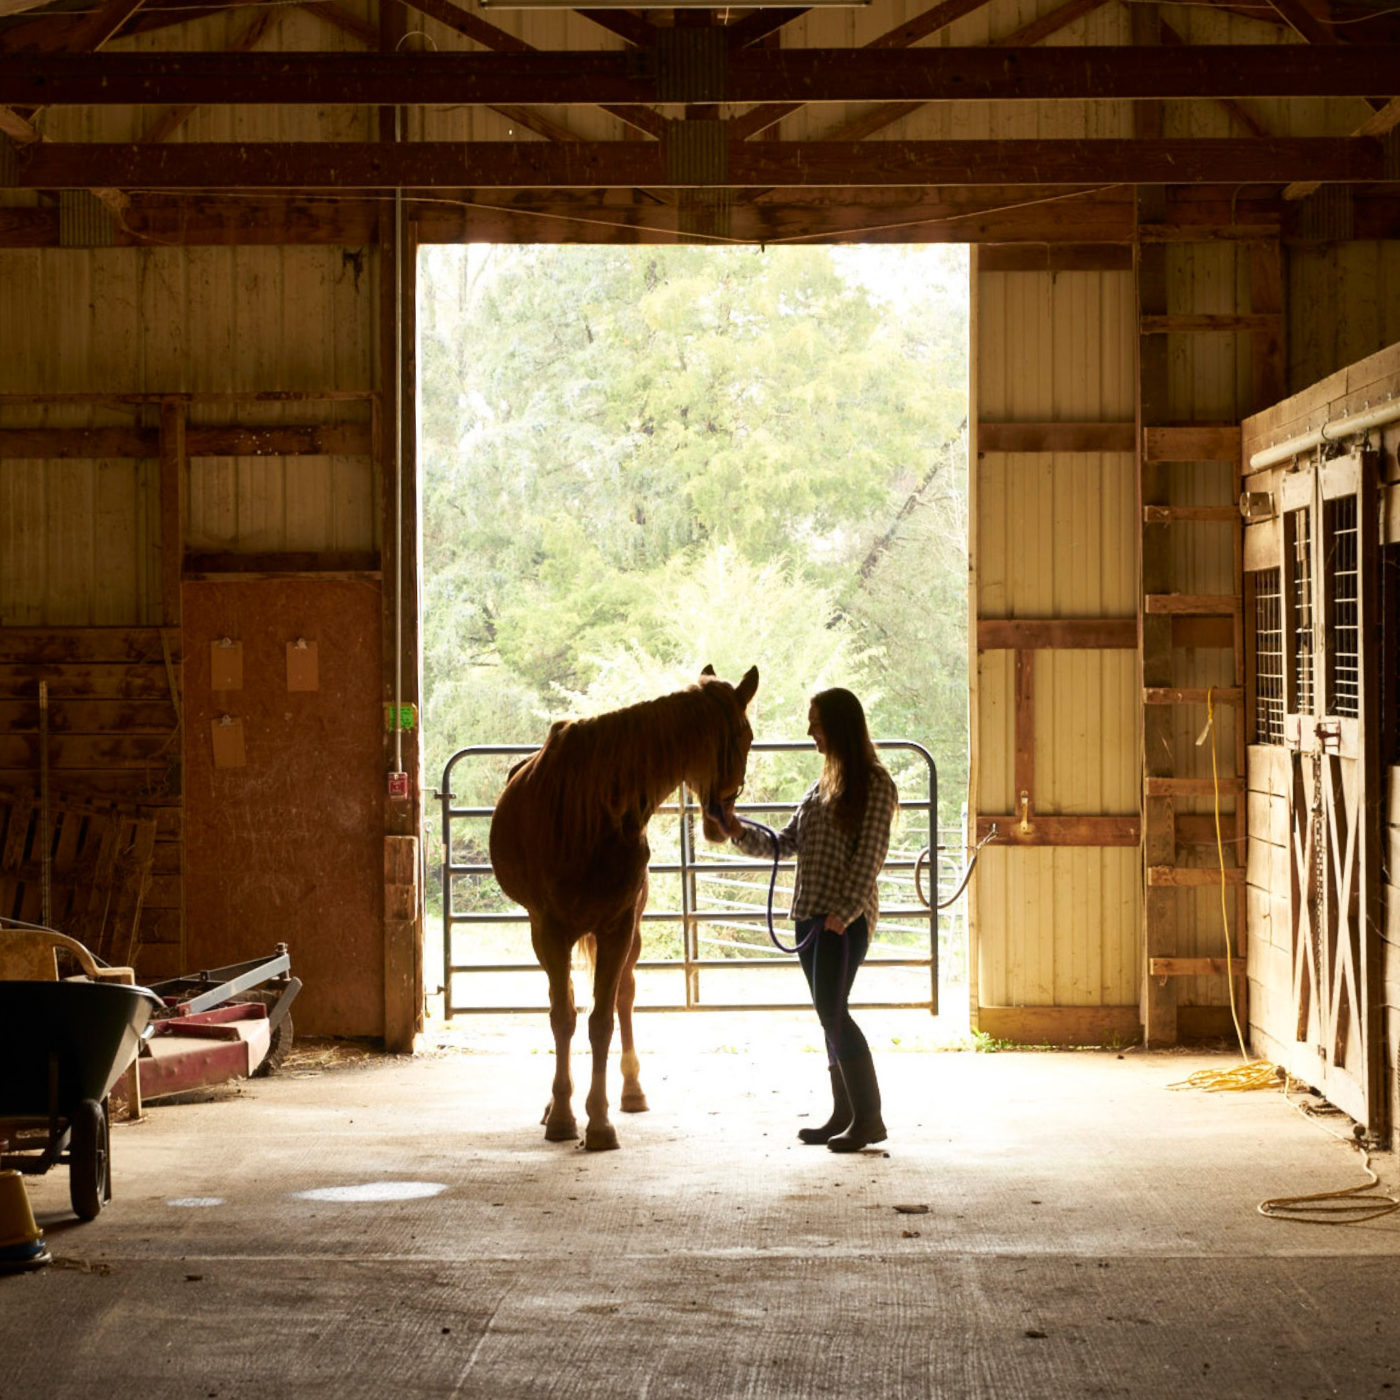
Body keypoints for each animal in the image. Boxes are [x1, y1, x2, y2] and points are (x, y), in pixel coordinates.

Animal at [490, 663, 761, 1148]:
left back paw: (632, 1091)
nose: (724, 821)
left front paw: (598, 1122)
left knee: (624, 997)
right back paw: (553, 1105)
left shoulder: (617, 926)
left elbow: (602, 1021)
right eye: (745, 736)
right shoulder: (550, 930)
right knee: (565, 1002)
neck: (592, 812)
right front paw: (563, 1116)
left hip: (627, 933)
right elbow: (563, 1018)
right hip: (551, 937)